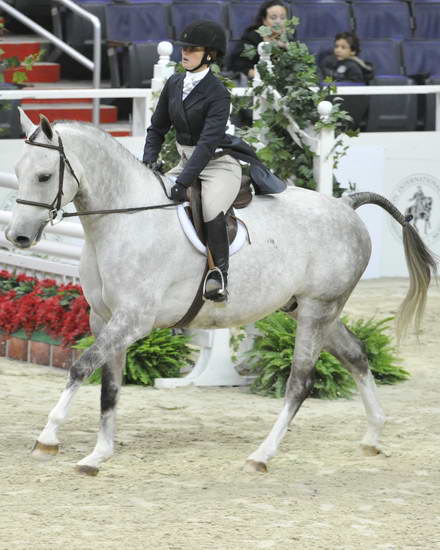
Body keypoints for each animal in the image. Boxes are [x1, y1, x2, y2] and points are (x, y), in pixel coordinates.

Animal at [4, 113, 436, 478]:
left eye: (44, 175)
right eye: (18, 172)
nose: (18, 237)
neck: (124, 221)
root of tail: (346, 205)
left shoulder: (133, 320)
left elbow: (81, 368)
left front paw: (48, 437)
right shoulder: (104, 318)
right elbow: (109, 385)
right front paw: (99, 454)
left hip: (318, 308)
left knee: (300, 381)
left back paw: (262, 455)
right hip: (309, 310)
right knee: (357, 356)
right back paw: (373, 436)